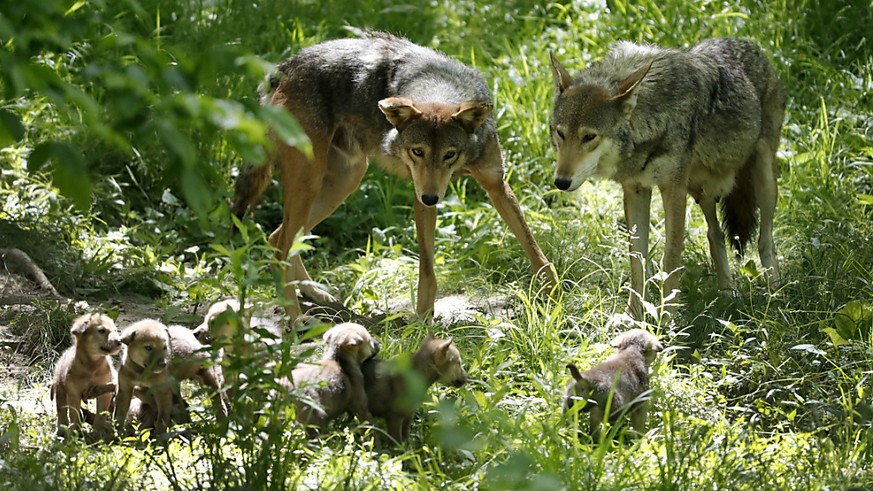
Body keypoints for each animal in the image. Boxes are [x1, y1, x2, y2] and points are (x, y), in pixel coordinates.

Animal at [235, 31, 556, 322]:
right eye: (417, 152)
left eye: (449, 154)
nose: (431, 197)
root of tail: (283, 67)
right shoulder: (420, 196)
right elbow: (427, 268)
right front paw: (424, 321)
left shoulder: (495, 185)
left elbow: (533, 247)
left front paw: (554, 293)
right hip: (312, 183)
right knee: (279, 247)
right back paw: (294, 318)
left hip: (344, 182)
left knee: (277, 237)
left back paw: (317, 294)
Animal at [544, 39, 784, 322]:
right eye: (560, 133)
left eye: (589, 137)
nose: (561, 182)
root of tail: (752, 45)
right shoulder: (635, 190)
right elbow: (637, 260)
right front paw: (633, 316)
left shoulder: (673, 190)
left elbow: (670, 260)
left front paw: (667, 319)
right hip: (701, 191)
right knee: (715, 234)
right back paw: (728, 291)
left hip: (764, 183)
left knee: (765, 239)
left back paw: (775, 293)